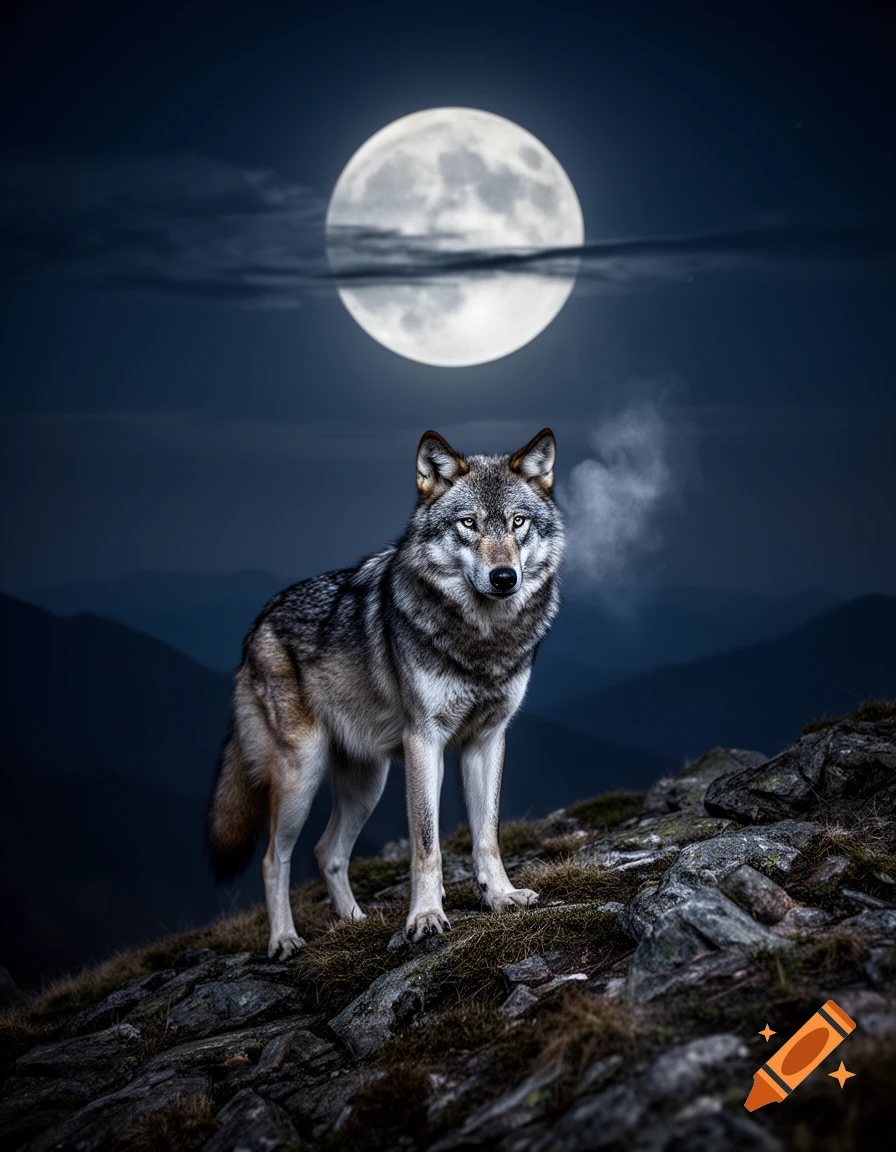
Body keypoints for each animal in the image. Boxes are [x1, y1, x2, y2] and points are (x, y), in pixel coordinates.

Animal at [207, 427, 565, 957]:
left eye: (518, 522)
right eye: (468, 523)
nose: (504, 578)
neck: (483, 641)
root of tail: (256, 626)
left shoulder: (488, 740)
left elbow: (487, 836)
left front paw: (500, 896)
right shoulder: (424, 741)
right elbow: (425, 844)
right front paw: (426, 917)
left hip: (367, 782)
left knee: (327, 851)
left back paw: (354, 922)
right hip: (302, 773)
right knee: (275, 857)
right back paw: (285, 940)